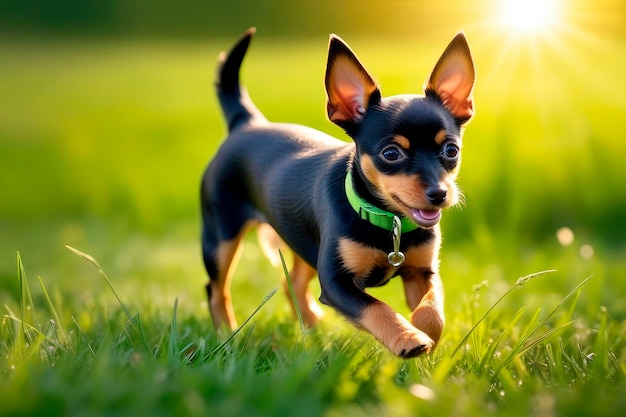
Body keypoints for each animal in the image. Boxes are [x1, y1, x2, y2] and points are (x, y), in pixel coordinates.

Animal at [200, 27, 472, 356]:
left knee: (291, 283)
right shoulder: (336, 283)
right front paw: (409, 338)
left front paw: (423, 329)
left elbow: (433, 306)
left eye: (451, 150)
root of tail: (246, 123)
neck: (387, 220)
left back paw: (312, 327)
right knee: (216, 289)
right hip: (221, 239)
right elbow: (376, 308)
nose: (439, 193)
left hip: (304, 243)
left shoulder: (422, 271)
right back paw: (227, 336)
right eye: (391, 154)